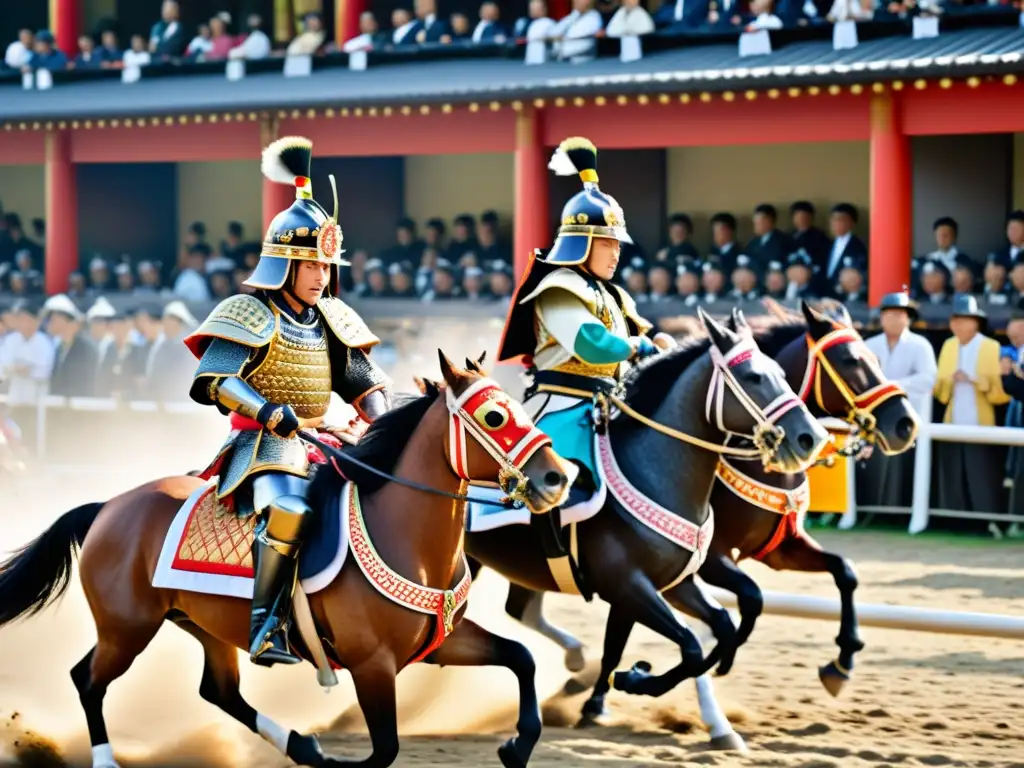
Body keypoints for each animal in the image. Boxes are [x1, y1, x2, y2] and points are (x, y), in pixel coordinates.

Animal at [0, 356, 577, 768]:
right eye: (494, 416)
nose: (557, 478)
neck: (403, 535)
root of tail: (109, 505)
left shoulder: (439, 644)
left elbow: (521, 657)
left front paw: (516, 747)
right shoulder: (373, 665)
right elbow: (384, 750)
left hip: (203, 623)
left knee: (219, 691)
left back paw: (303, 746)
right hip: (127, 627)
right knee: (87, 680)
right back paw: (107, 760)